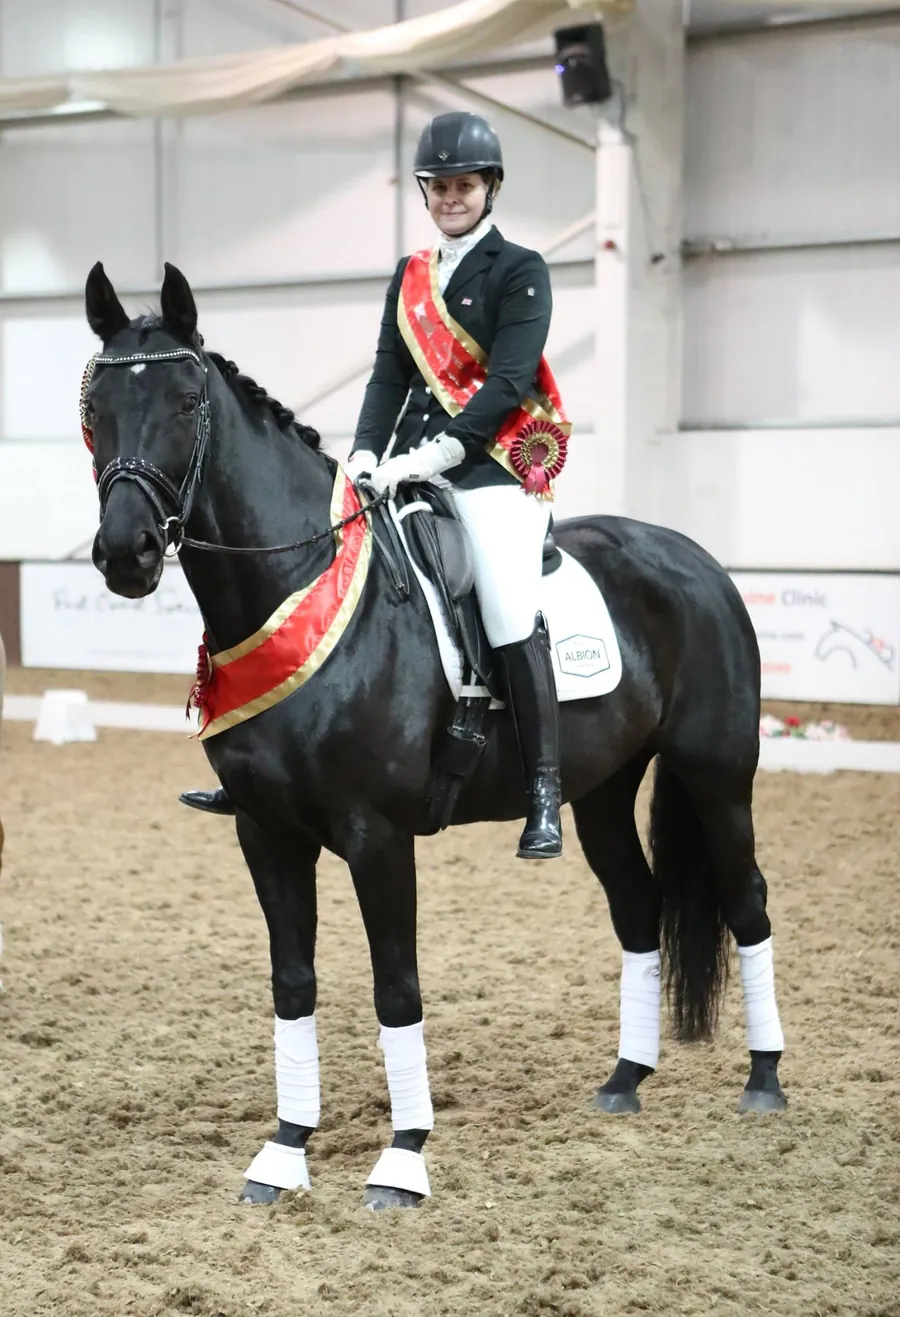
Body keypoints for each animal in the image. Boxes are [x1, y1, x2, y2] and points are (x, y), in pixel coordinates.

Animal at [83, 260, 787, 1211]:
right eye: (94, 405)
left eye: (189, 401)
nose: (124, 554)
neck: (293, 578)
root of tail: (696, 560)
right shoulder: (264, 832)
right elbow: (293, 983)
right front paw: (284, 1150)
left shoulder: (377, 835)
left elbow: (396, 986)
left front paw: (403, 1158)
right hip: (602, 790)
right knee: (639, 908)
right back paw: (624, 1080)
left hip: (717, 774)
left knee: (746, 899)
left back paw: (764, 1080)